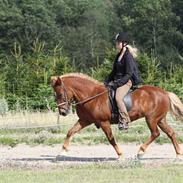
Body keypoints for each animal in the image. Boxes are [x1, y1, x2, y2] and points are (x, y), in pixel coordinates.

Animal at [50, 72, 183, 159]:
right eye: (55, 95)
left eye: (60, 94)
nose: (63, 112)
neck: (91, 96)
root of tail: (165, 92)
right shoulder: (84, 120)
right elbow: (70, 132)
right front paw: (62, 152)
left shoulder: (104, 122)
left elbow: (110, 139)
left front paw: (120, 155)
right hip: (160, 119)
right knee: (170, 133)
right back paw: (178, 155)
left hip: (151, 119)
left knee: (155, 133)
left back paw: (140, 152)